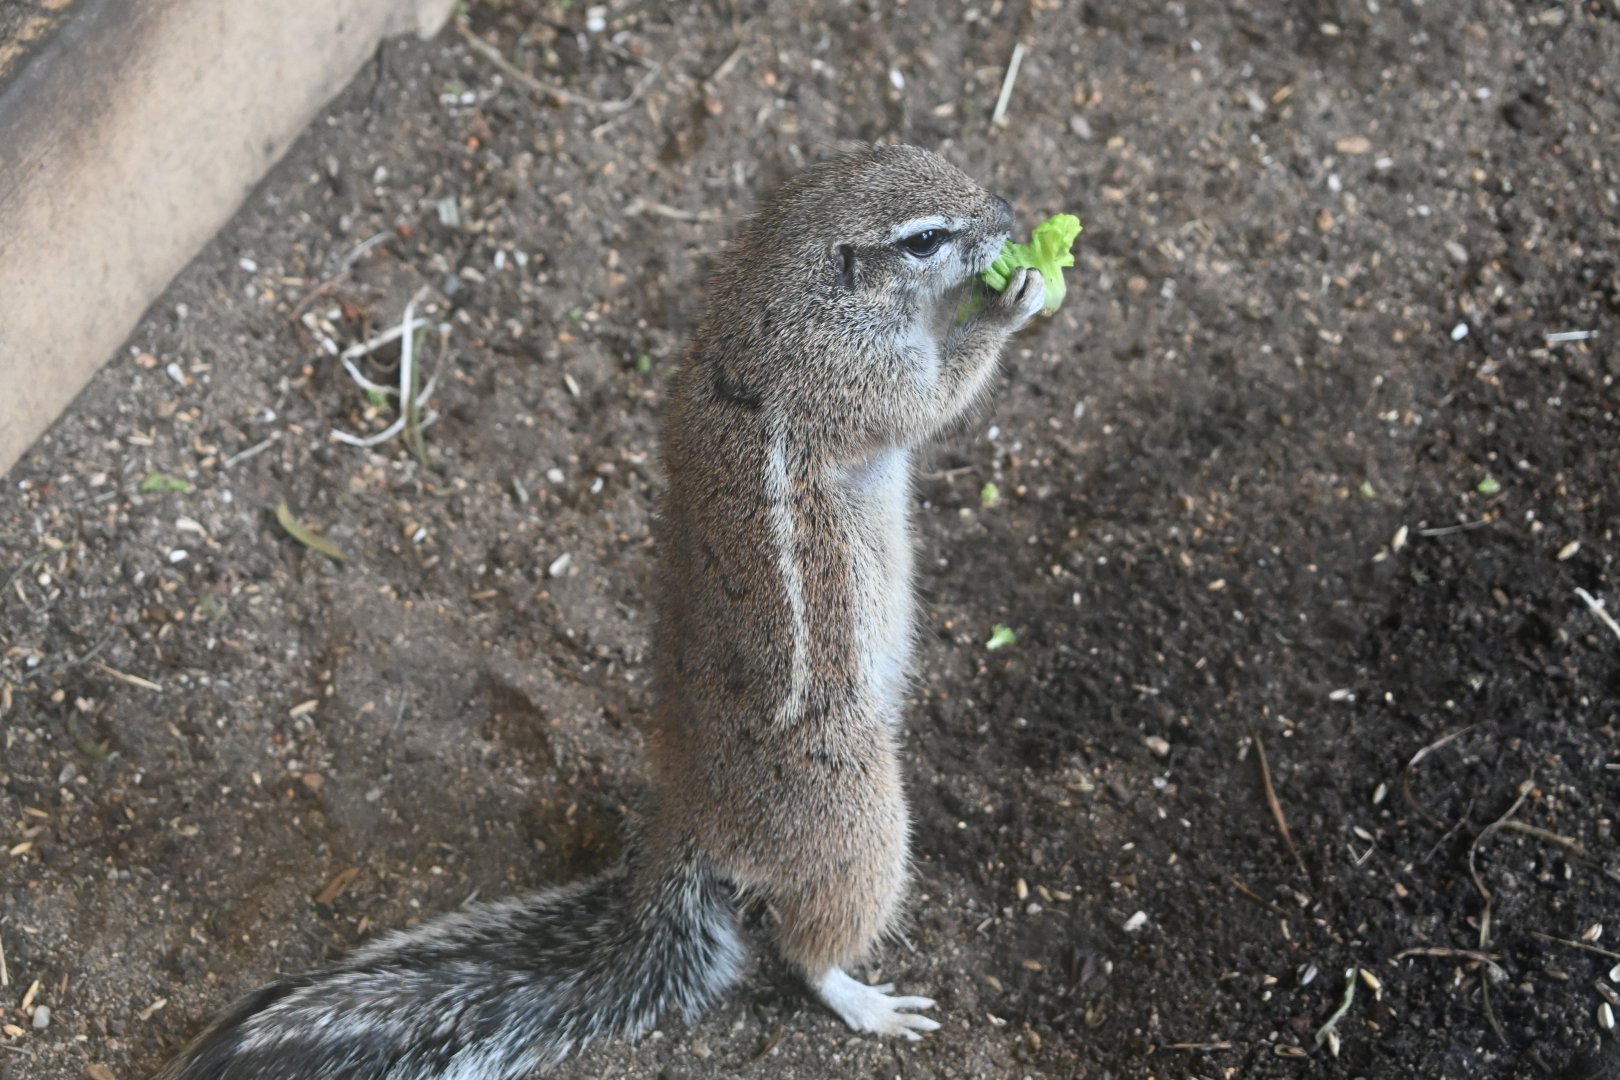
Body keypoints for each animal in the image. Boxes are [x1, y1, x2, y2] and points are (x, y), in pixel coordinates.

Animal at [153, 143, 1046, 1080]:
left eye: (937, 159)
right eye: (924, 239)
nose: (1009, 213)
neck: (789, 293)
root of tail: (690, 817)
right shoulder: (853, 374)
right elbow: (932, 401)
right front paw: (1011, 299)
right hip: (856, 812)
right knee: (809, 946)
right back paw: (865, 1000)